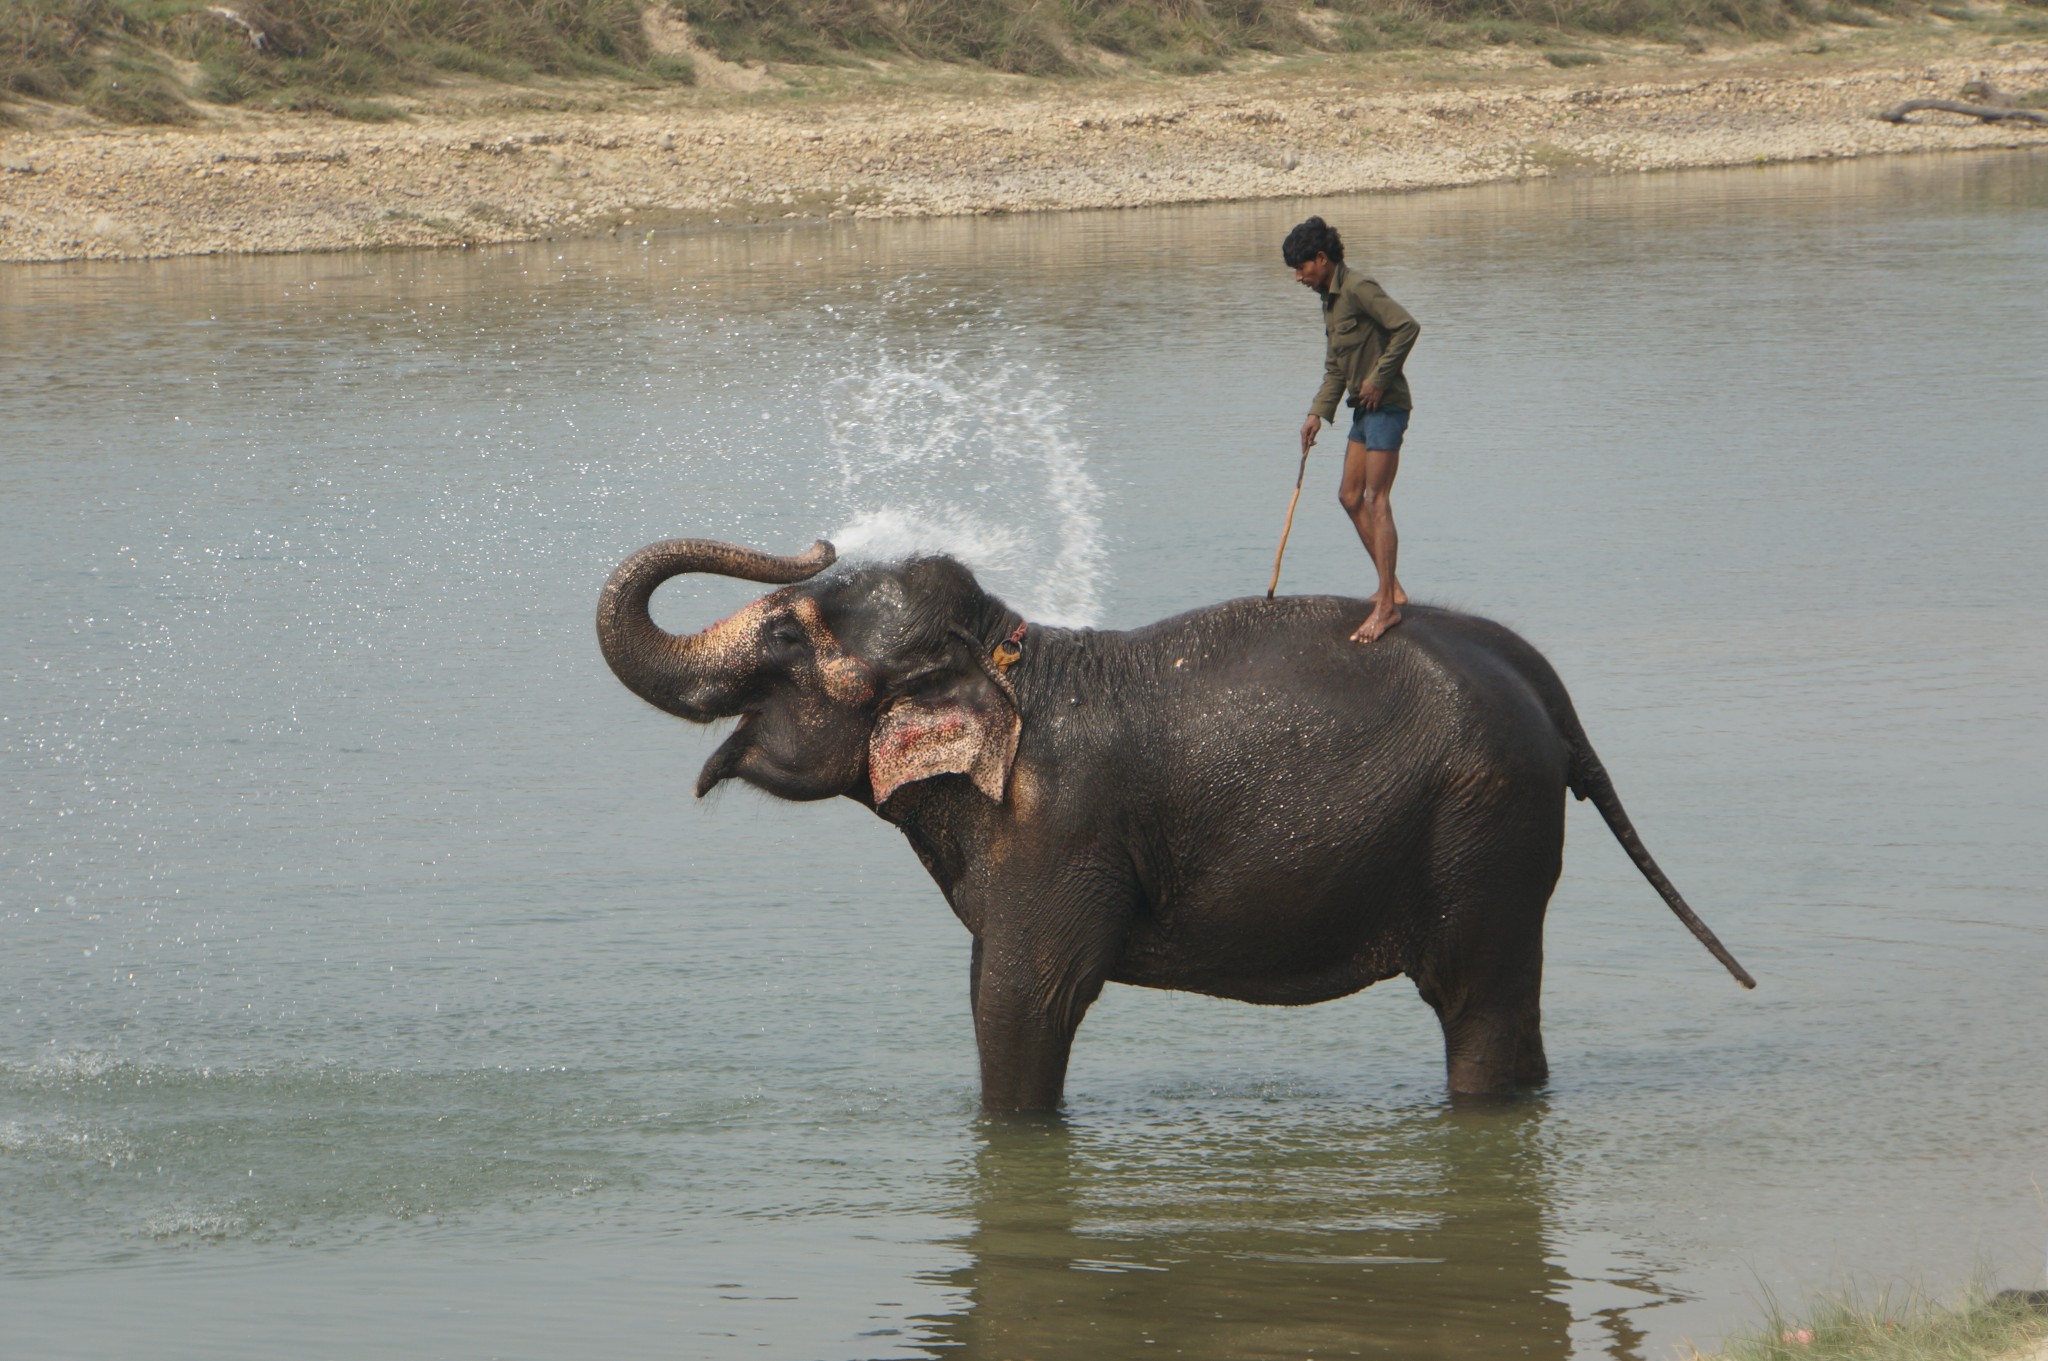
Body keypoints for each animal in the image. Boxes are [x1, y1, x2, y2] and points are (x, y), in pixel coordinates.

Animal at [598, 536, 1761, 1113]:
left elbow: (1021, 999)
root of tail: (1548, 691)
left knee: (1478, 1005)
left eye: (790, 635)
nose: (815, 538)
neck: (1014, 650)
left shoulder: (1060, 830)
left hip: (1485, 828)